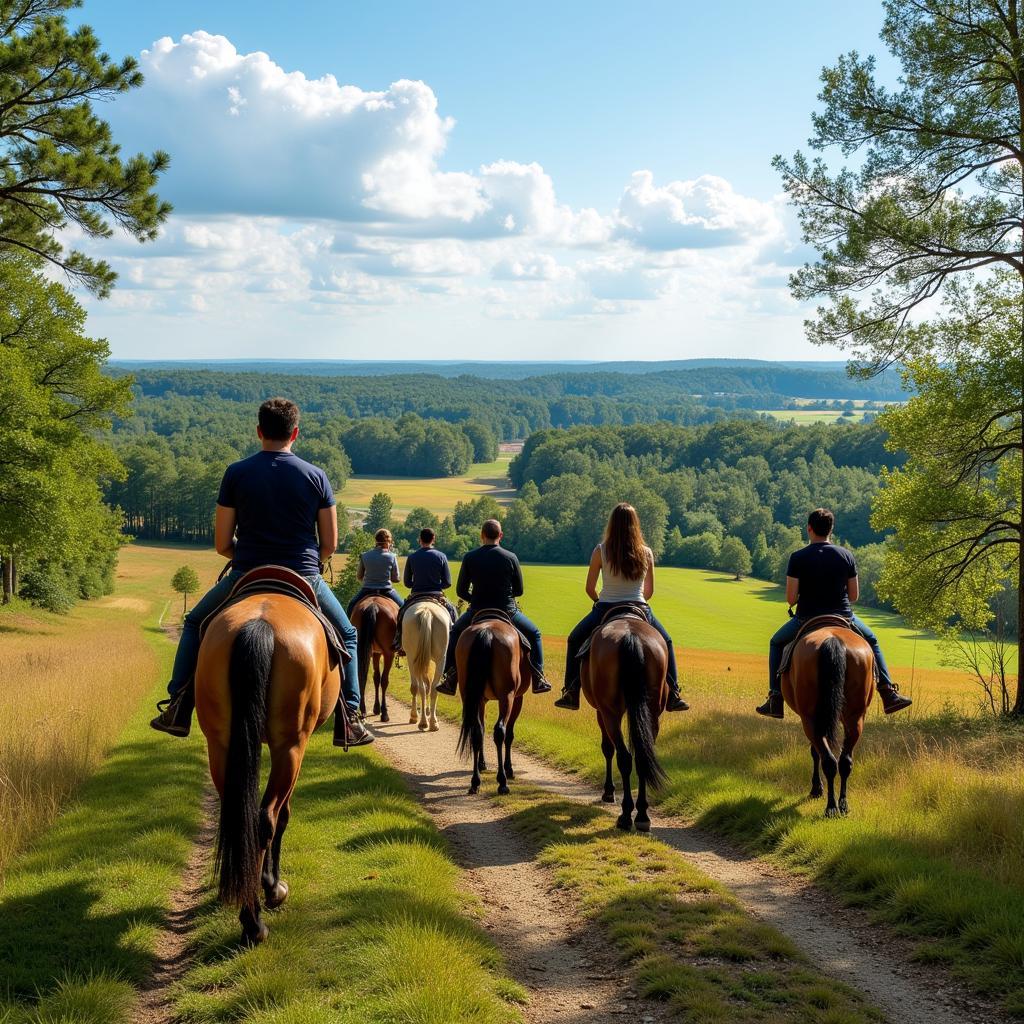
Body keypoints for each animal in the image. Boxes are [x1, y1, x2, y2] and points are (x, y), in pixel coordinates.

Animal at [197, 593, 342, 942]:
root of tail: (258, 625)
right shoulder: (295, 749)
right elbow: (284, 815)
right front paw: (274, 887)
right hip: (290, 747)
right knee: (266, 819)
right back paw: (256, 921)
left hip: (219, 745)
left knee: (241, 816)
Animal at [399, 598, 448, 737]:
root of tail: (427, 611)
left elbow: (415, 687)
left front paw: (414, 715)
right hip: (440, 658)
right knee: (433, 688)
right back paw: (432, 723)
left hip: (412, 658)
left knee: (419, 687)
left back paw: (422, 721)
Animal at [460, 610, 532, 794]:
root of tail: (486, 631)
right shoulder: (517, 698)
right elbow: (510, 734)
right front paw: (509, 769)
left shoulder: (481, 700)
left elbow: (482, 728)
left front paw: (481, 764)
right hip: (507, 696)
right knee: (500, 731)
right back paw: (502, 782)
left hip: (469, 695)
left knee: (476, 731)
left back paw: (475, 782)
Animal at [581, 614, 667, 831]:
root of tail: (631, 635)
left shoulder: (600, 712)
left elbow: (607, 748)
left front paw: (608, 791)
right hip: (652, 712)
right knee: (642, 756)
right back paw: (643, 815)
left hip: (610, 712)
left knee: (624, 757)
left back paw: (626, 815)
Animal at [782, 618, 872, 819]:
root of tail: (833, 640)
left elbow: (814, 752)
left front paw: (816, 788)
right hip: (855, 718)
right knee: (844, 762)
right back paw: (842, 805)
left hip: (810, 719)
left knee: (827, 759)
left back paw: (830, 806)